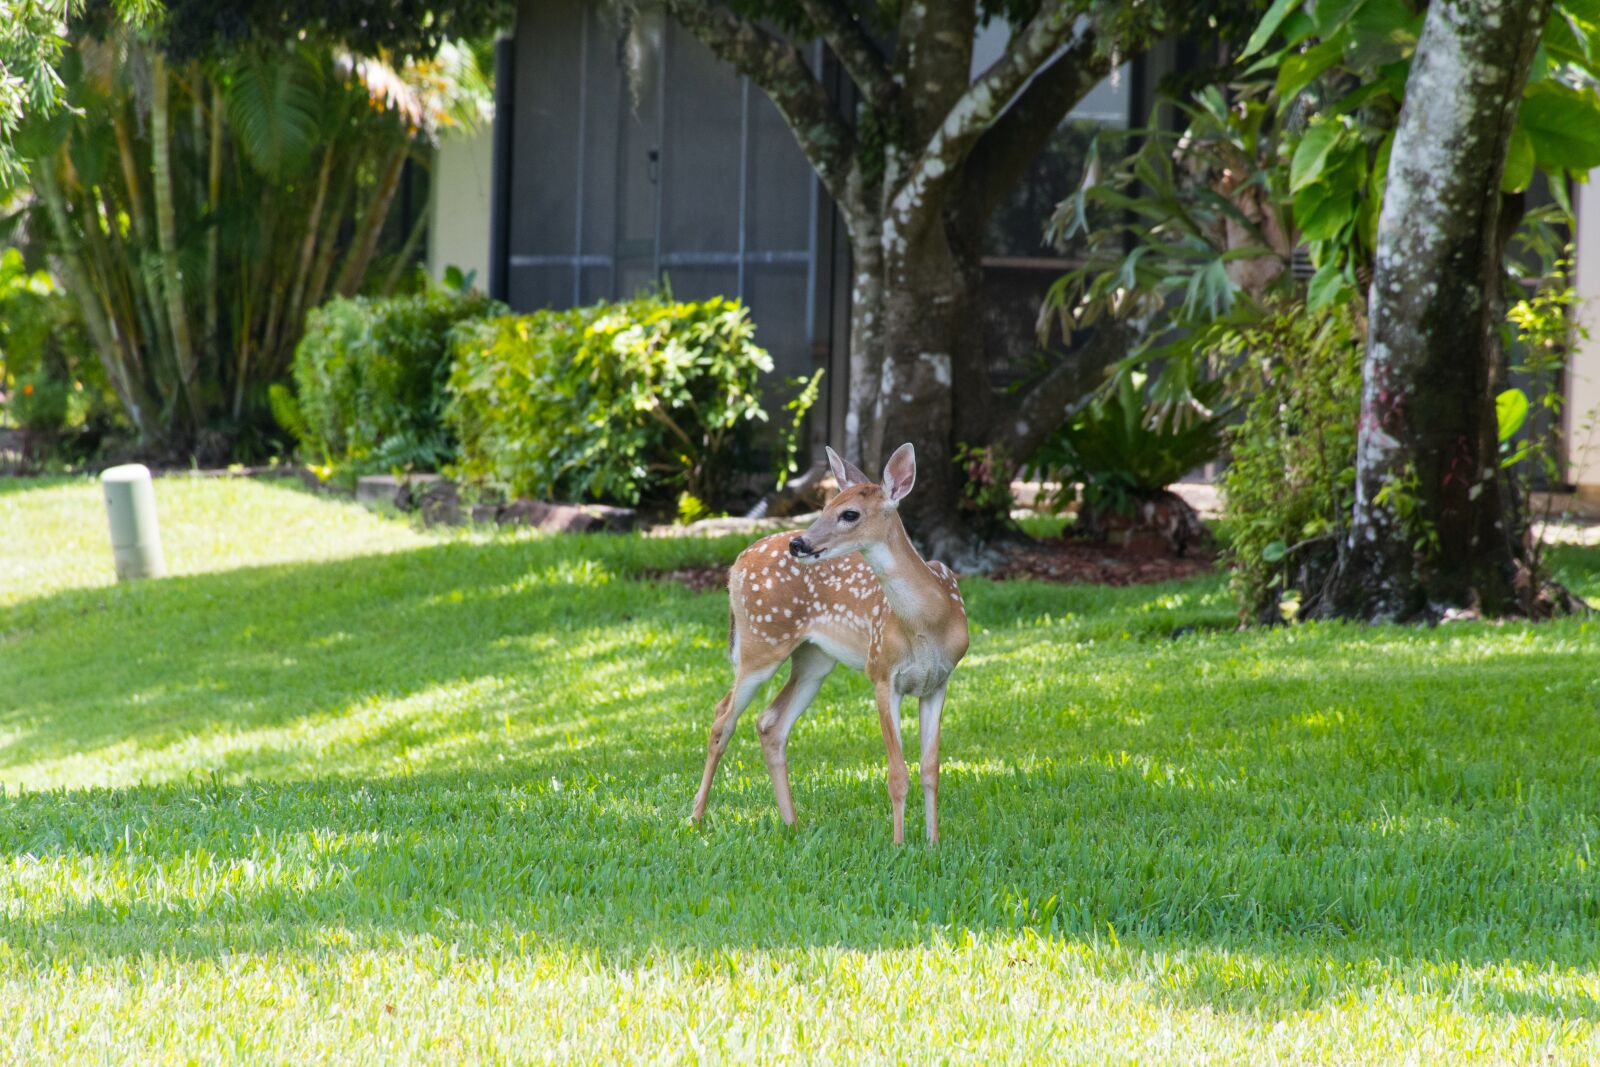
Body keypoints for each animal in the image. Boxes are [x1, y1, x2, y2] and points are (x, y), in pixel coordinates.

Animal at [689, 443, 970, 844]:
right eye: (823, 507)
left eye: (849, 513)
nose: (799, 543)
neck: (929, 622)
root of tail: (737, 563)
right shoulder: (881, 671)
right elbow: (897, 773)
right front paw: (900, 845)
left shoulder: (939, 681)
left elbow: (931, 769)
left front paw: (932, 843)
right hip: (762, 642)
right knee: (722, 718)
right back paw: (696, 818)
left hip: (814, 659)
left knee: (770, 722)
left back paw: (792, 824)